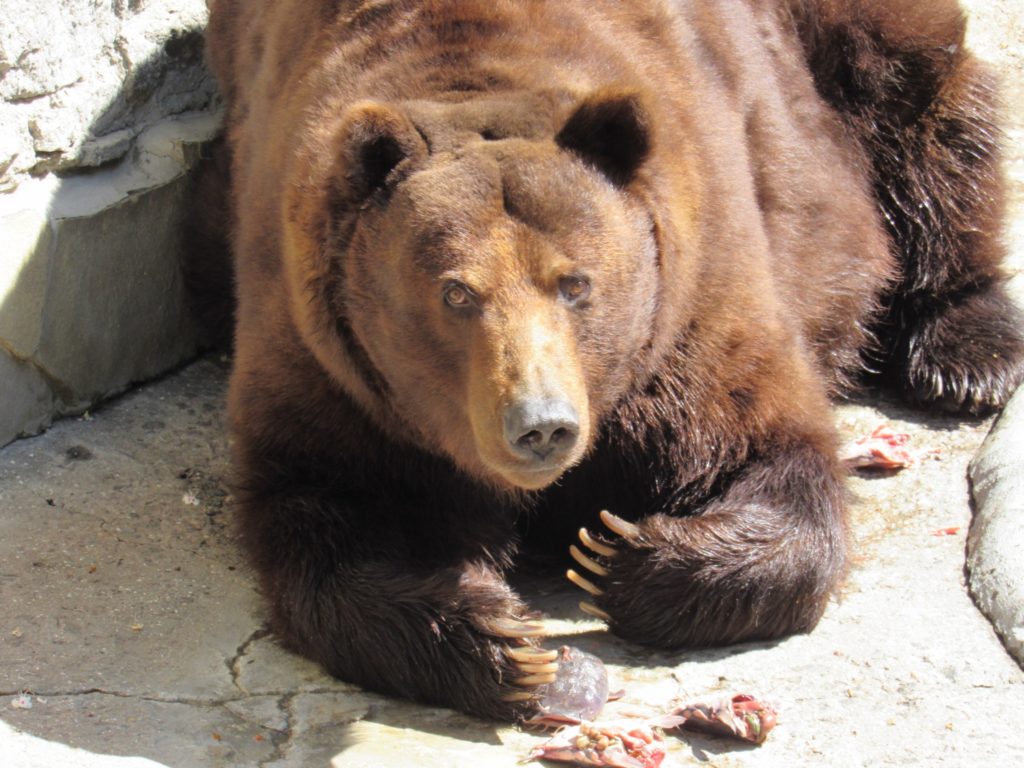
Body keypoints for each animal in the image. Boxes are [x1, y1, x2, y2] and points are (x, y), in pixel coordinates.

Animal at [203, 0, 1019, 720]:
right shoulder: (326, 361)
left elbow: (775, 457)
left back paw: (967, 354)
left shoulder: (688, 307)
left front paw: (617, 554)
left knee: (919, 96)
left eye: (576, 283)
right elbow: (324, 520)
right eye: (456, 293)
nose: (541, 425)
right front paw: (500, 637)